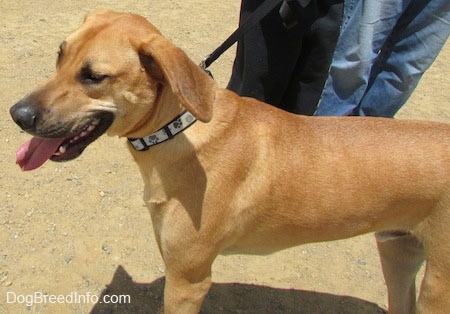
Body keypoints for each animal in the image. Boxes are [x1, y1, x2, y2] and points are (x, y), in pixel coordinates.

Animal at [8, 8, 448, 312]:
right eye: (60, 55)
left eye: (93, 76)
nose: (17, 114)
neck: (178, 129)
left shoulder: (188, 281)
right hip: (398, 254)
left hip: (437, 286)